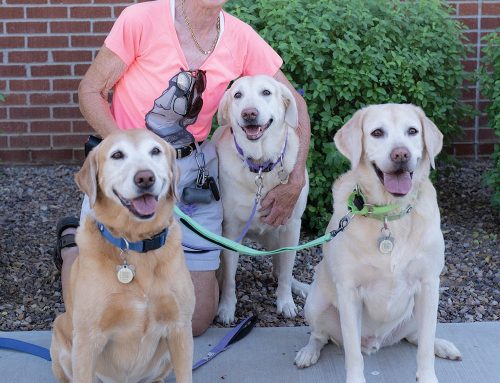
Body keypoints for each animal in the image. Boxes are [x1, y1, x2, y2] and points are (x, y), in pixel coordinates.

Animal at [48, 130, 193, 383]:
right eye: (117, 155)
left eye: (155, 151)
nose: (145, 178)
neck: (135, 243)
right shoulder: (87, 339)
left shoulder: (180, 327)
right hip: (62, 335)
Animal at [214, 75, 310, 324]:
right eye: (237, 95)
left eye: (266, 92)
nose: (249, 113)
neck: (259, 167)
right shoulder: (230, 231)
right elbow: (230, 279)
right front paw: (226, 308)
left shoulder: (292, 226)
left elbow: (286, 271)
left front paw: (285, 302)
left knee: (281, 268)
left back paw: (299, 287)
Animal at [294, 103, 462, 382]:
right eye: (377, 133)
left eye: (412, 131)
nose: (401, 154)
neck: (389, 215)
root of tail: (376, 342)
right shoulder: (349, 291)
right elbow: (353, 354)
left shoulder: (429, 284)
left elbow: (425, 346)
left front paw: (427, 375)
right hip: (316, 304)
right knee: (320, 335)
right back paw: (308, 352)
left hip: (419, 308)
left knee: (416, 337)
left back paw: (444, 346)